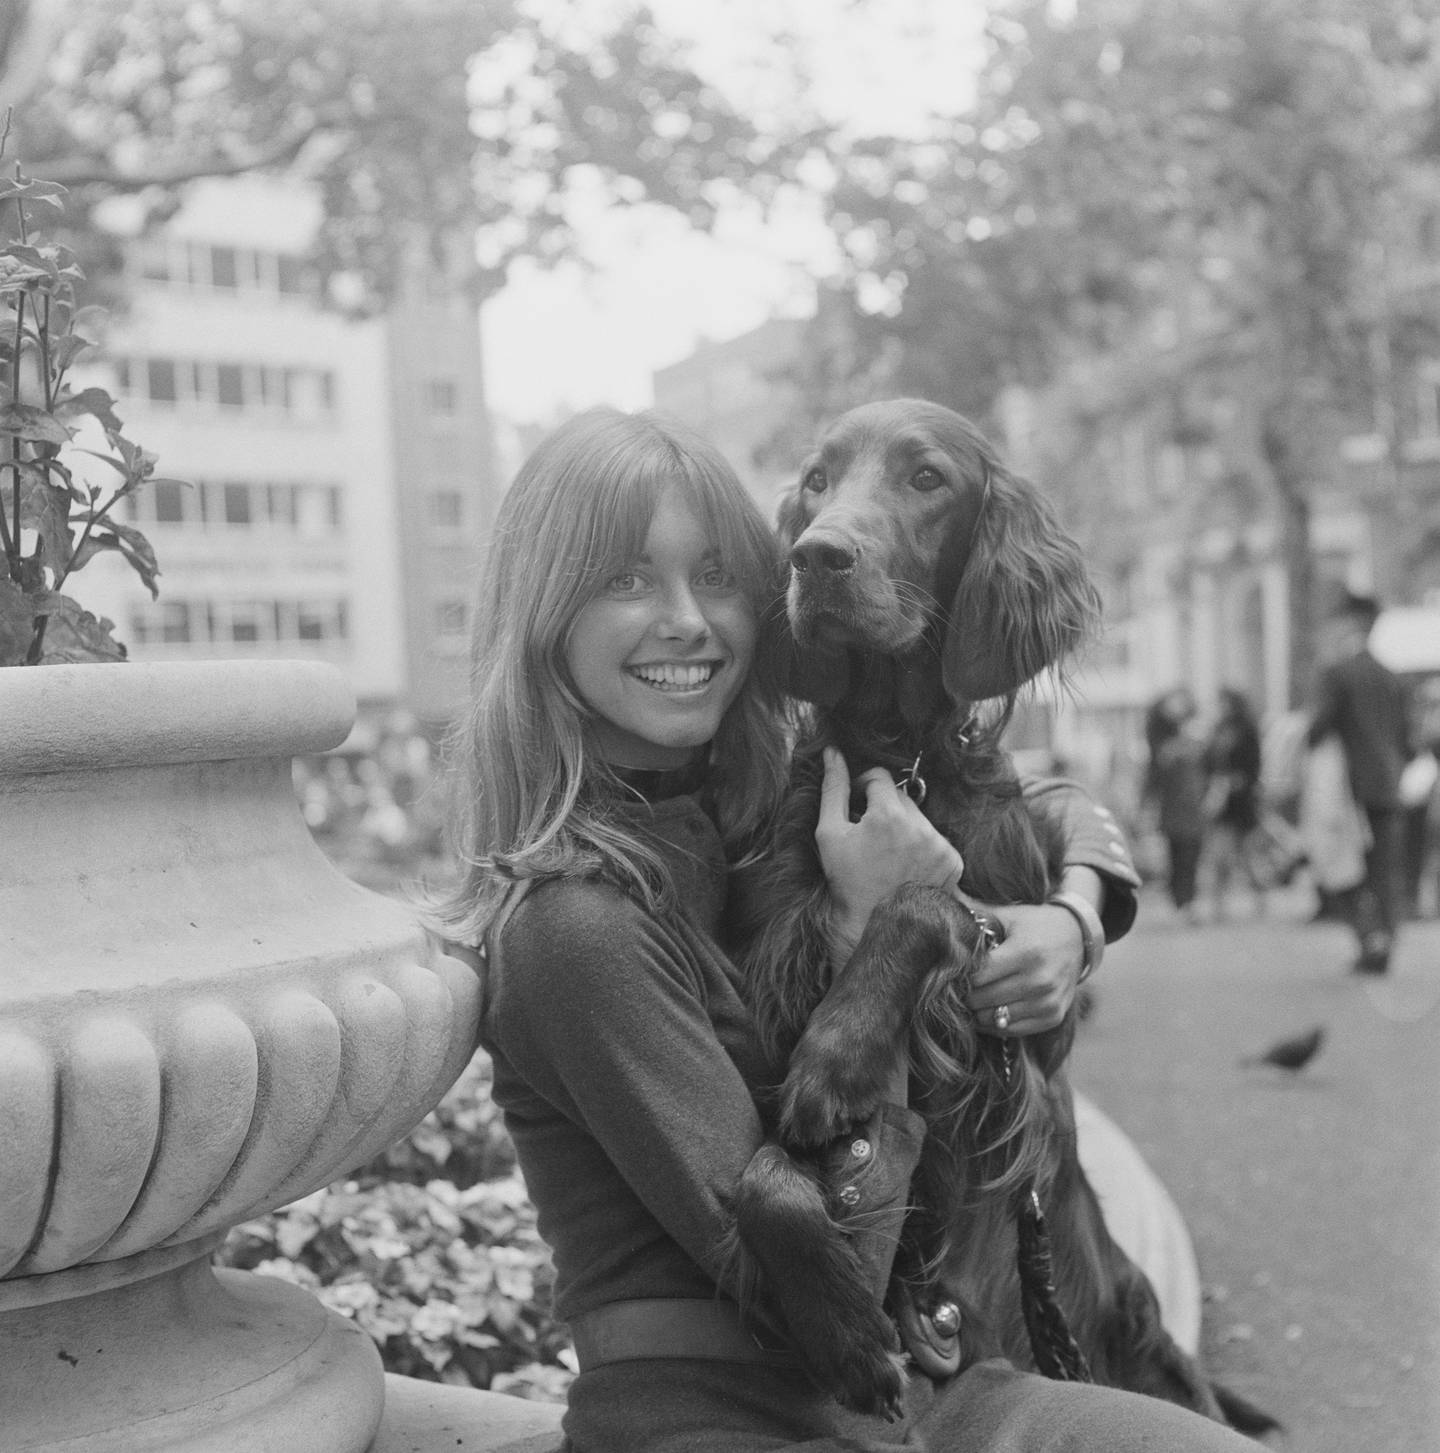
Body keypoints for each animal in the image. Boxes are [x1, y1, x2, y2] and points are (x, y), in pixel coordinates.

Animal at [732, 395, 1261, 1429]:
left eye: (926, 477)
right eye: (816, 478)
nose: (816, 555)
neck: (900, 759)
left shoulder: (1026, 1044)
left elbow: (931, 899)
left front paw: (838, 1053)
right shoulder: (770, 994)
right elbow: (765, 1172)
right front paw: (848, 1332)